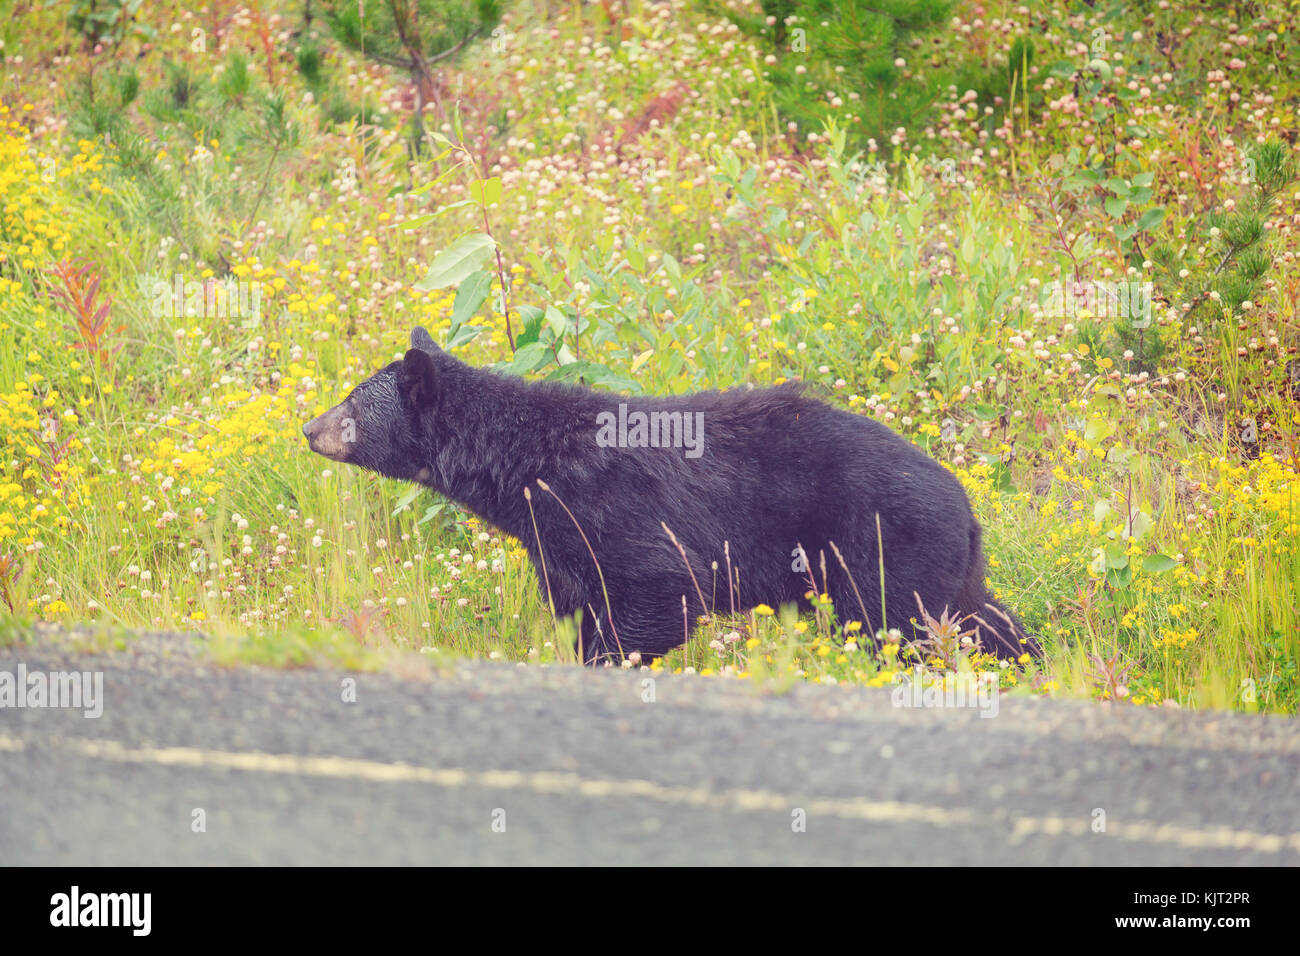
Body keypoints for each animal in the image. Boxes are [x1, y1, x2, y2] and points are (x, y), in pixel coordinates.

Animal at [303, 326, 1040, 665]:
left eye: (353, 406)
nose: (308, 428)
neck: (525, 467)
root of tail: (965, 503)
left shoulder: (613, 510)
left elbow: (659, 591)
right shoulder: (557, 543)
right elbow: (577, 605)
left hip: (884, 547)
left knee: (900, 625)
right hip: (948, 568)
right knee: (983, 618)